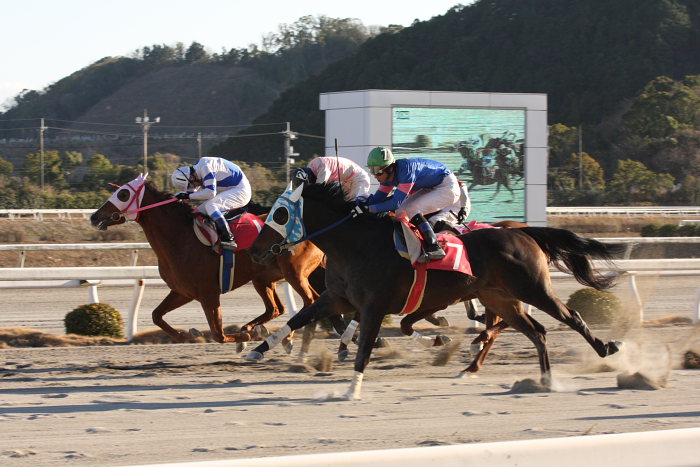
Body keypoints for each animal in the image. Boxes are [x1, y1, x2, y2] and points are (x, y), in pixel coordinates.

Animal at [89, 175, 326, 348]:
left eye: (123, 193)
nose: (94, 216)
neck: (182, 239)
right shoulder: (183, 291)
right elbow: (157, 315)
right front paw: (185, 334)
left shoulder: (208, 293)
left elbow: (218, 334)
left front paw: (241, 339)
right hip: (264, 278)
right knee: (277, 308)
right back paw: (259, 329)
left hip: (293, 272)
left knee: (309, 301)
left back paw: (280, 336)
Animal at [245, 183, 624, 398]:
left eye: (280, 213)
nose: (255, 250)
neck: (354, 244)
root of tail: (523, 231)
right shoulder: (336, 298)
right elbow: (297, 319)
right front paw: (258, 350)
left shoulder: (373, 306)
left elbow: (365, 347)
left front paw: (353, 388)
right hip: (501, 298)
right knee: (537, 331)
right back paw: (542, 379)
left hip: (532, 288)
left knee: (570, 316)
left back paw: (606, 347)